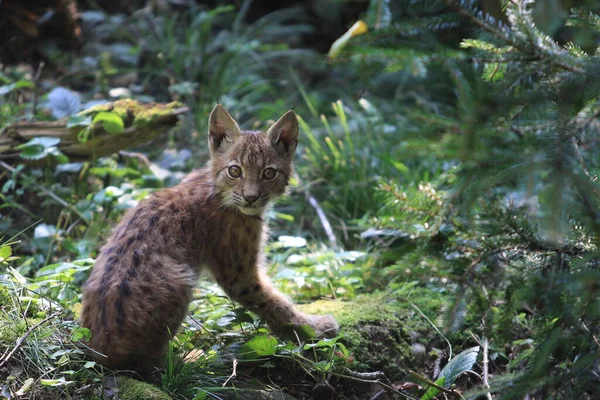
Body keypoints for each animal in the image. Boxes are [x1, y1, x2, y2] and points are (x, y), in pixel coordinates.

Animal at [81, 103, 338, 376]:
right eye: (235, 171)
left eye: (268, 173)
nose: (251, 198)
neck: (216, 186)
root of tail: (100, 353)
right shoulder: (239, 276)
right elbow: (273, 302)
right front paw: (312, 328)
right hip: (181, 279)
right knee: (151, 368)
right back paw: (191, 360)